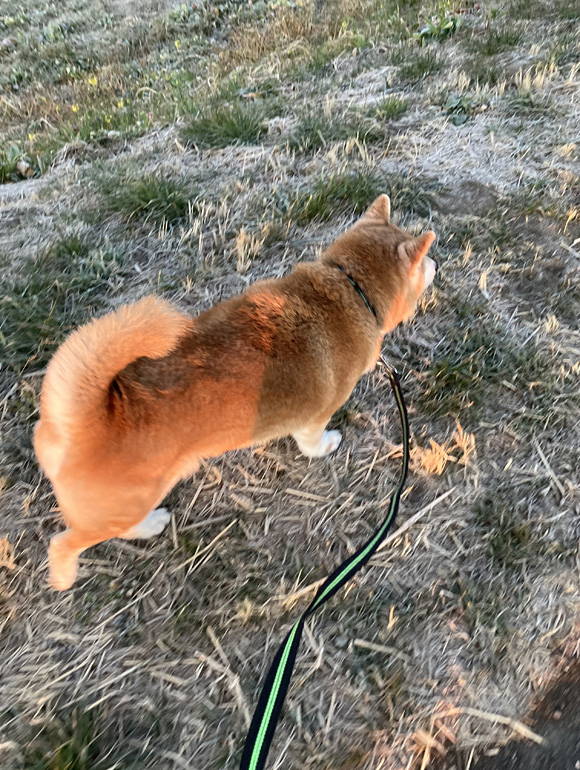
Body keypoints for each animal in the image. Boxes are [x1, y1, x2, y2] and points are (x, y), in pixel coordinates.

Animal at [34, 194, 436, 590]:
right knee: (67, 542)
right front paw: (327, 446)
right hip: (125, 504)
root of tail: (89, 421)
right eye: (424, 260)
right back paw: (75, 570)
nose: (435, 261)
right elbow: (312, 441)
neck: (351, 287)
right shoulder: (316, 417)